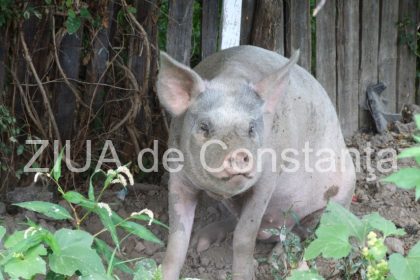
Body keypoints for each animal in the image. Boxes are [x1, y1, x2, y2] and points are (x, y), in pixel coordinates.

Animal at [157, 44, 354, 278]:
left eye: (251, 128)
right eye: (204, 126)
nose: (239, 154)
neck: (230, 79)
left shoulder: (267, 180)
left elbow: (244, 236)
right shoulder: (177, 174)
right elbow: (176, 238)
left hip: (341, 196)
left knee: (307, 233)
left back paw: (277, 259)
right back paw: (201, 241)